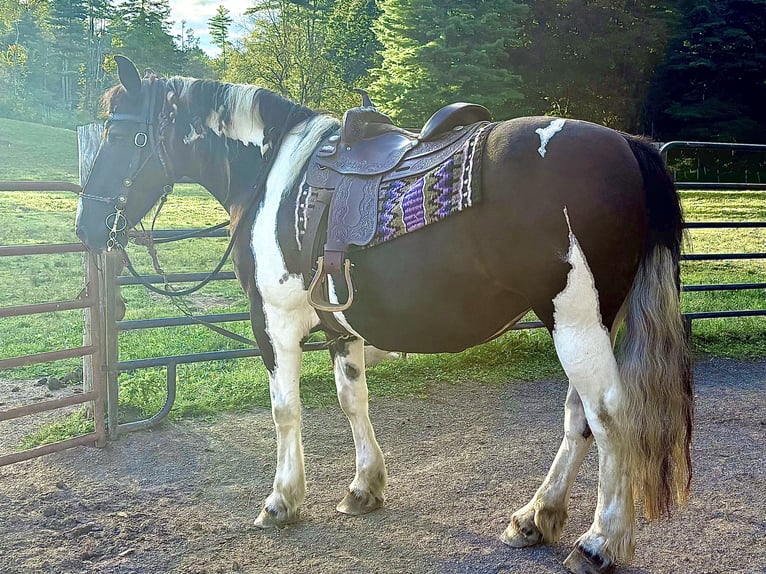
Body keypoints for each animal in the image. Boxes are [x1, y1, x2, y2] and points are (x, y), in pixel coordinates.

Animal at [75, 55, 693, 574]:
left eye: (121, 134)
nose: (85, 226)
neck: (275, 175)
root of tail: (628, 144)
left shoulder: (274, 323)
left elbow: (285, 411)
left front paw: (282, 500)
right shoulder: (340, 326)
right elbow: (353, 400)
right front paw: (364, 487)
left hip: (576, 322)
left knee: (609, 416)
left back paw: (600, 541)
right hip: (587, 323)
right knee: (578, 420)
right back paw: (535, 518)